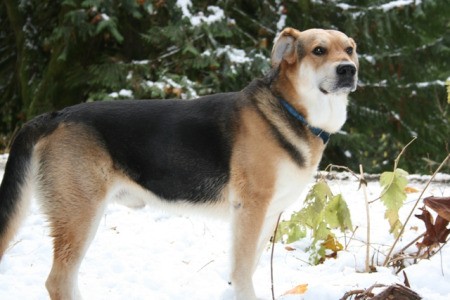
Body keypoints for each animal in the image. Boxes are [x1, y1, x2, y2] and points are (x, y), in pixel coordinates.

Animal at [0, 27, 358, 298]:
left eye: (350, 49)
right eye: (318, 50)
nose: (348, 70)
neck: (291, 110)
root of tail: (53, 116)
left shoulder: (269, 215)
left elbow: (247, 267)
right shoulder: (250, 209)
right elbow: (243, 270)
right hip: (80, 214)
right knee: (58, 281)